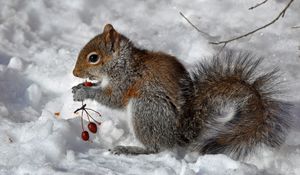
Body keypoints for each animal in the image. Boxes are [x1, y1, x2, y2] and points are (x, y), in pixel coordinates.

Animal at [72, 23, 290, 160]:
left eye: (93, 58)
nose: (75, 73)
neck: (123, 62)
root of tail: (178, 135)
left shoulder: (126, 81)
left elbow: (113, 98)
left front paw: (84, 93)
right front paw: (78, 88)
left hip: (146, 108)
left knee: (156, 148)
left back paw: (129, 149)